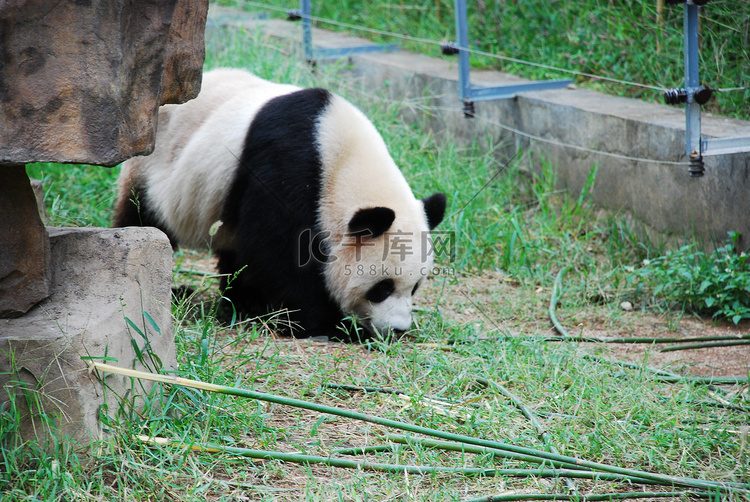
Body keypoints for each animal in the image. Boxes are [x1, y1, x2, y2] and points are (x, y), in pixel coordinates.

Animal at [114, 67, 446, 342]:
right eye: (382, 288)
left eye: (416, 286)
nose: (398, 329)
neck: (344, 161)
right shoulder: (289, 166)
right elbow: (279, 253)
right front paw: (327, 324)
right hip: (155, 167)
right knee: (145, 219)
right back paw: (173, 289)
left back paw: (241, 303)